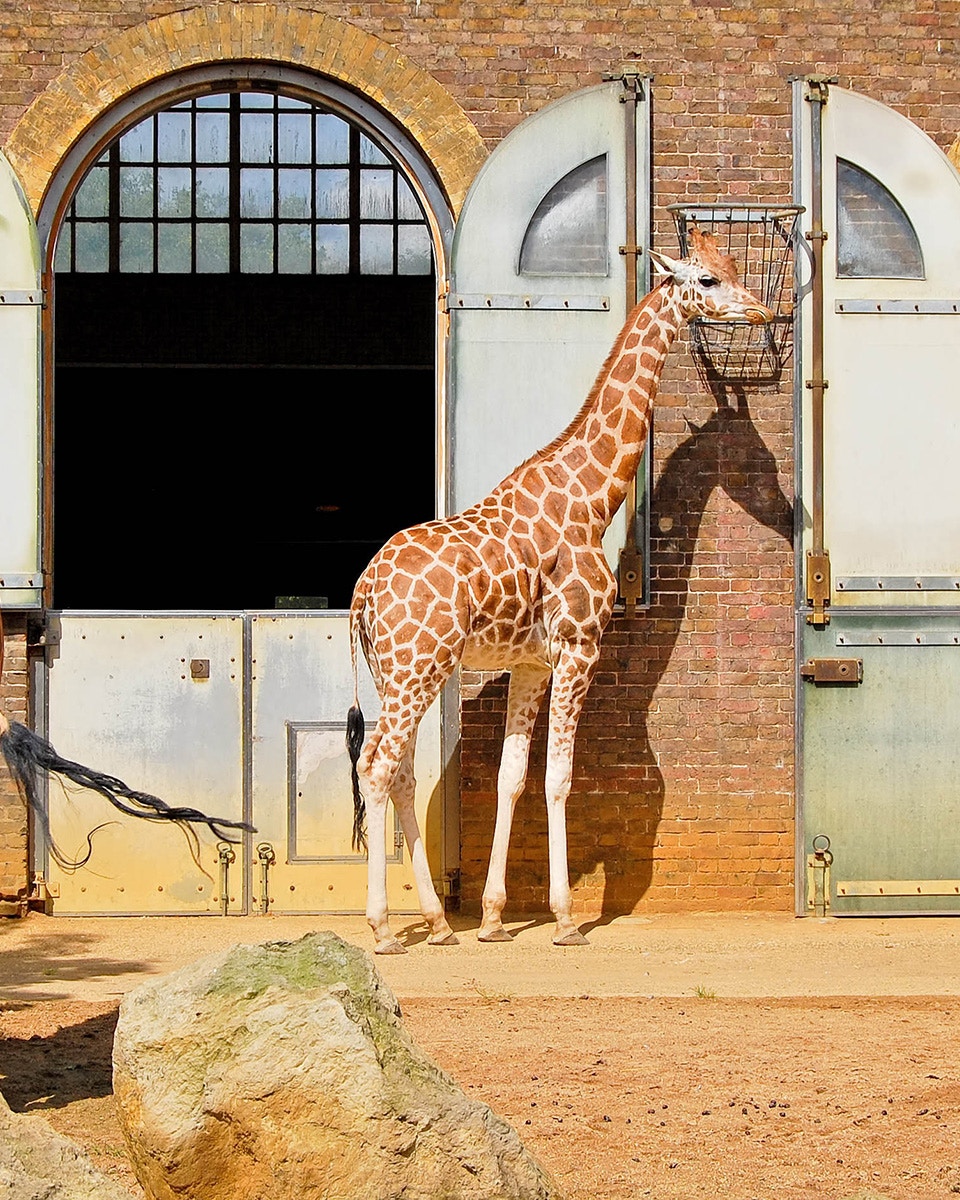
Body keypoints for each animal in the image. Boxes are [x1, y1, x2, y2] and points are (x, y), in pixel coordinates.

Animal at [347, 227, 773, 954]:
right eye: (708, 280)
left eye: (735, 267)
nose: (765, 311)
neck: (591, 498)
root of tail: (363, 590)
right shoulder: (579, 649)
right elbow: (559, 778)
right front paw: (568, 918)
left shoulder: (531, 664)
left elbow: (512, 777)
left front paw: (493, 917)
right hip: (416, 667)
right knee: (377, 768)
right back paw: (381, 928)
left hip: (396, 673)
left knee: (397, 771)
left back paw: (440, 923)